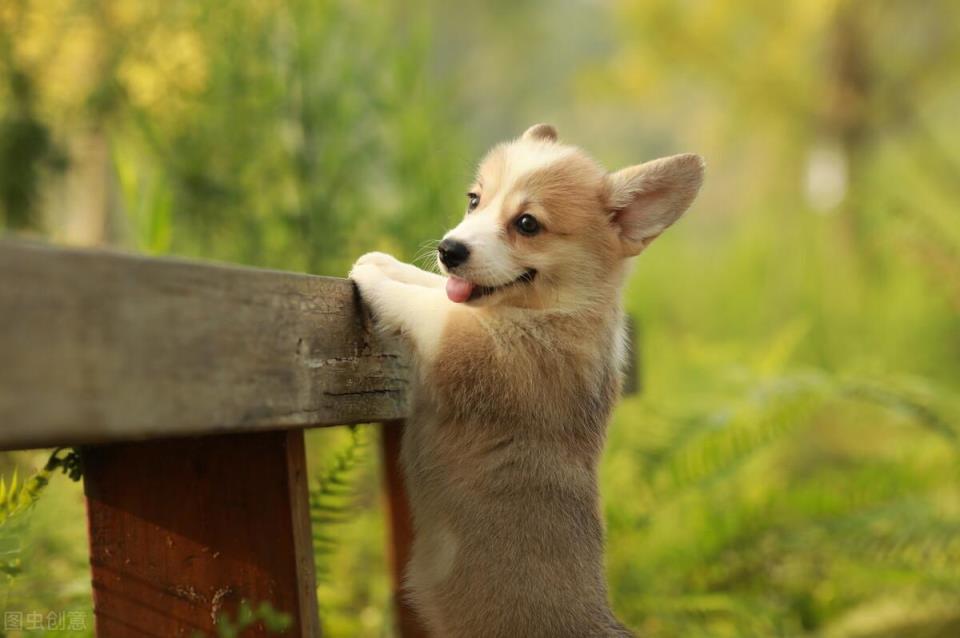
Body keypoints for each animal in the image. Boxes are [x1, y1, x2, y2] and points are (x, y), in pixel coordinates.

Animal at [350, 126, 704, 638]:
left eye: (527, 224)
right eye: (474, 200)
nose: (448, 250)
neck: (564, 308)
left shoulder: (471, 347)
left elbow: (432, 308)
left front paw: (374, 273)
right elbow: (436, 288)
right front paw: (391, 263)